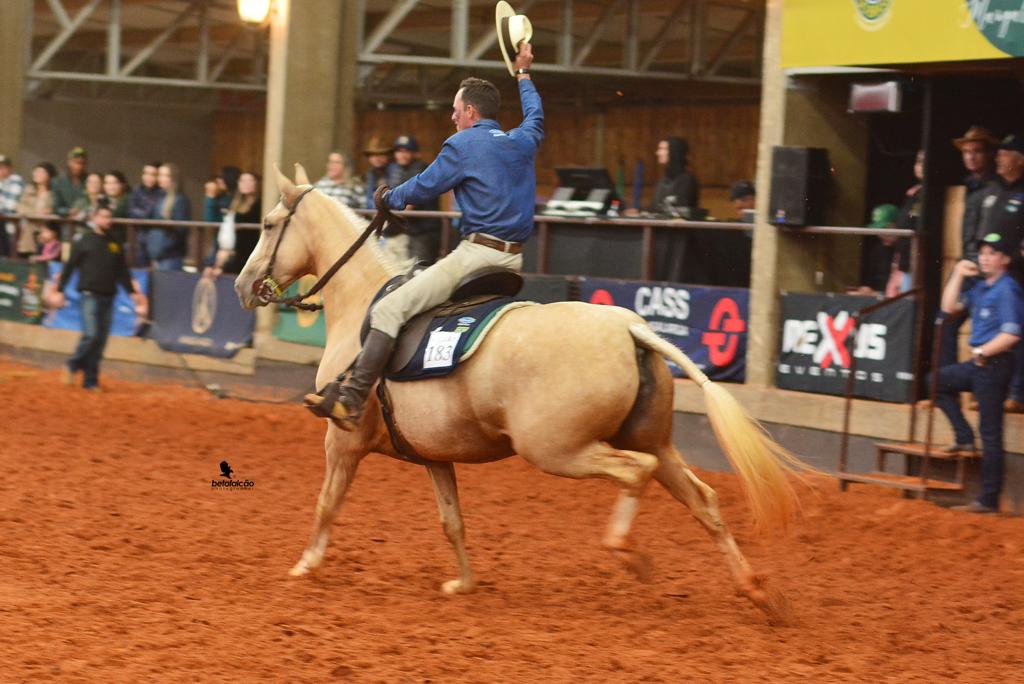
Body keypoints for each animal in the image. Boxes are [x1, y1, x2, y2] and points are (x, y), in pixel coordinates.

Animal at [234, 163, 806, 618]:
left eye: (267, 224)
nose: (242, 286)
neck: (362, 306)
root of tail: (628, 327)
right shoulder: (435, 457)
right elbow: (452, 522)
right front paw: (464, 583)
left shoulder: (343, 441)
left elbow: (327, 502)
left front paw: (305, 565)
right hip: (655, 442)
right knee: (703, 500)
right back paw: (756, 591)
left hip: (560, 450)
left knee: (633, 473)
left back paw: (629, 552)